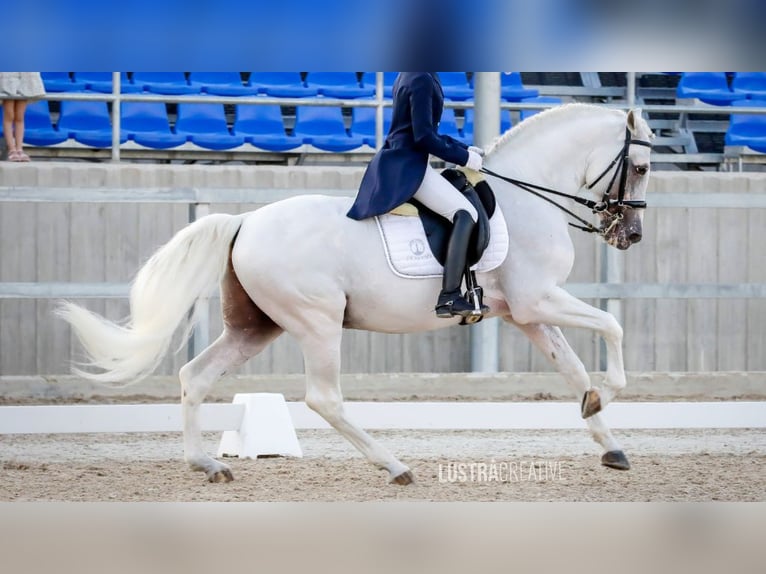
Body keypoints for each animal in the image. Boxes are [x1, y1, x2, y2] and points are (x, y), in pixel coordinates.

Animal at [57, 102, 656, 486]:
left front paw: (608, 437)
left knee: (195, 377)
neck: (526, 197)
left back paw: (207, 466)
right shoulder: (538, 300)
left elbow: (574, 369)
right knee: (324, 398)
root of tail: (246, 222)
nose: (630, 236)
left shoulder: (525, 313)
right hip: (317, 322)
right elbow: (615, 326)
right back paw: (395, 466)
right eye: (642, 167)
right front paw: (607, 395)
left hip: (255, 326)